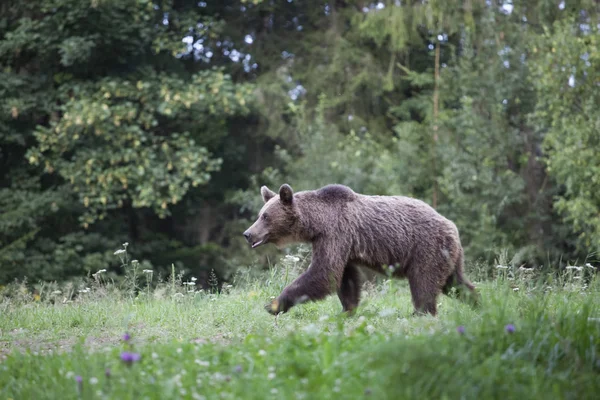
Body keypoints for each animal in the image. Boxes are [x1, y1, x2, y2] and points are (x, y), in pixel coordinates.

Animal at [244, 183, 478, 318]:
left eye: (265, 216)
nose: (248, 234)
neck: (316, 224)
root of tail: (451, 225)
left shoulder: (335, 233)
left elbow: (323, 273)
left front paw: (273, 304)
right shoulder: (342, 244)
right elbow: (344, 278)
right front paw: (347, 310)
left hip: (426, 248)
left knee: (424, 283)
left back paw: (419, 313)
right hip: (447, 255)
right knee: (455, 283)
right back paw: (479, 303)